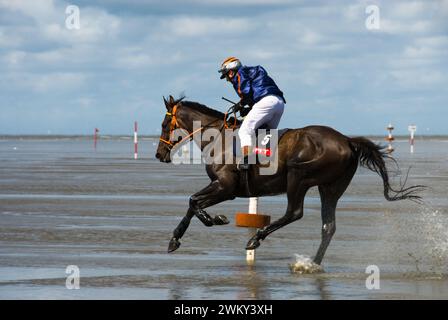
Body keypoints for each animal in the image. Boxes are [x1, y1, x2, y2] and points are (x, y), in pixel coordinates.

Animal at [156, 95, 426, 264]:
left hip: (299, 177)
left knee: (295, 212)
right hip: (330, 187)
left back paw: (256, 239)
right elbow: (192, 203)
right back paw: (313, 264)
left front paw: (215, 220)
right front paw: (175, 239)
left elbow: (194, 202)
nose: (159, 155)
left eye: (164, 124)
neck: (218, 139)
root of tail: (347, 140)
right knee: (328, 226)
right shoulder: (221, 188)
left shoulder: (225, 187)